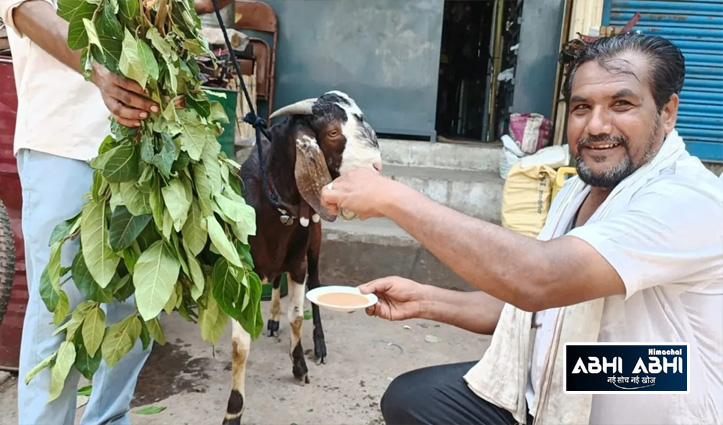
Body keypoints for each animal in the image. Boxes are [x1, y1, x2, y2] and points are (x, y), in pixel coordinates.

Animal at [223, 90, 384, 424]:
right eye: (333, 132)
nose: (376, 166)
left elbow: (297, 316)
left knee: (316, 284)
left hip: (315, 240)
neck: (277, 210)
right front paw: (233, 410)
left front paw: (300, 366)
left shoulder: (298, 262)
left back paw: (319, 344)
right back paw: (272, 319)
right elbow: (239, 346)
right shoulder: (242, 272)